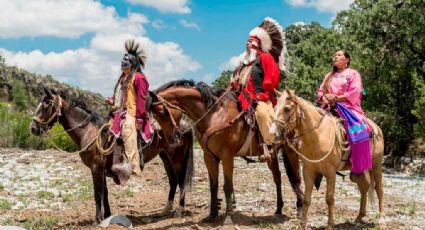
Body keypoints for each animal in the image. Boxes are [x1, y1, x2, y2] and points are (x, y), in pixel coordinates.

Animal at [29, 87, 194, 225]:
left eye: (45, 106)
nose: (33, 128)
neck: (89, 132)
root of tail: (184, 125)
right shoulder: (101, 169)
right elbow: (105, 193)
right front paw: (107, 216)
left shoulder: (95, 168)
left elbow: (97, 193)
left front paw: (96, 220)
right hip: (165, 156)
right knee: (173, 181)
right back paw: (165, 210)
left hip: (177, 158)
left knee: (181, 180)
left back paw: (179, 210)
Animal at [149, 79, 302, 225]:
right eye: (154, 115)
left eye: (162, 112)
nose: (172, 139)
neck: (215, 115)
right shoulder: (209, 157)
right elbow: (213, 185)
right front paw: (212, 214)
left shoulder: (227, 156)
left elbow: (228, 186)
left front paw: (228, 217)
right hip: (273, 155)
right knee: (277, 177)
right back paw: (279, 208)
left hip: (291, 151)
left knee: (296, 178)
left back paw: (300, 207)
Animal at [270, 88, 386, 228]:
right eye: (275, 108)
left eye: (287, 108)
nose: (272, 134)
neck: (318, 136)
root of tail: (376, 128)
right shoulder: (308, 171)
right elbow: (306, 199)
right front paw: (302, 224)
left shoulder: (330, 173)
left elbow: (329, 198)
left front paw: (330, 225)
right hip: (358, 170)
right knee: (364, 187)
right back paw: (359, 217)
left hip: (376, 166)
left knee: (378, 188)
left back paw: (381, 218)